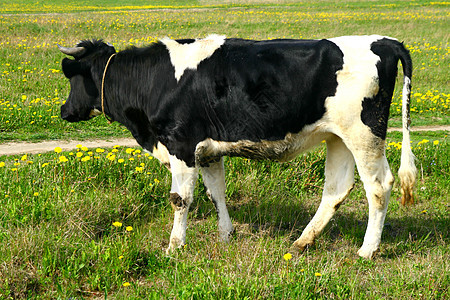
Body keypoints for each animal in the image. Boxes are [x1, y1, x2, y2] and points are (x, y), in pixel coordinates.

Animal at [58, 34, 416, 258]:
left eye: (73, 78)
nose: (64, 111)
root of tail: (384, 41)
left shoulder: (181, 145)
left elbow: (180, 199)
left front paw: (174, 247)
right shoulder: (207, 151)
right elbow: (216, 193)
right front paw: (225, 236)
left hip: (363, 134)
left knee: (378, 186)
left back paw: (367, 250)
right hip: (337, 137)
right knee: (336, 189)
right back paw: (302, 242)